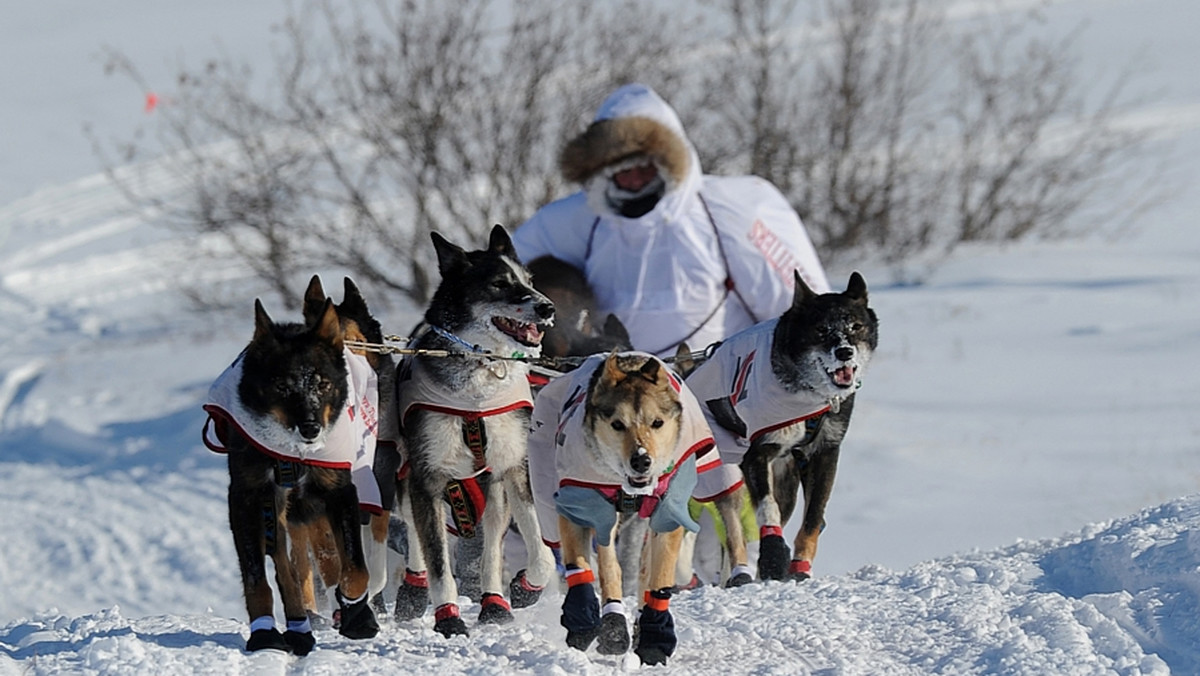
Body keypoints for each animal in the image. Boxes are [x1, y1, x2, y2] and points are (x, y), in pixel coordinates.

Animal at [201, 297, 379, 657]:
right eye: (282, 386)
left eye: (322, 384)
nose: (310, 428)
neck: (291, 454)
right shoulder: (247, 498)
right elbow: (258, 578)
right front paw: (263, 633)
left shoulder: (339, 492)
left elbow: (355, 568)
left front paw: (356, 613)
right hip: (276, 511)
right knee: (287, 569)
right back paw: (297, 628)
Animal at [530, 355, 715, 667]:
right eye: (617, 424)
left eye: (657, 422)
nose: (641, 460)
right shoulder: (581, 503)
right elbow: (594, 567)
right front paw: (594, 623)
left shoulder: (667, 512)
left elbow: (658, 577)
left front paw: (654, 638)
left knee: (644, 574)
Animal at [686, 270, 883, 581]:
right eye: (821, 329)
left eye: (856, 326)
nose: (844, 352)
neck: (807, 394)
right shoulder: (757, 454)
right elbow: (768, 509)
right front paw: (773, 556)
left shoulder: (825, 454)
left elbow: (813, 518)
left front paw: (800, 566)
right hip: (721, 473)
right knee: (733, 531)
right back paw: (739, 574)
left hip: (786, 482)